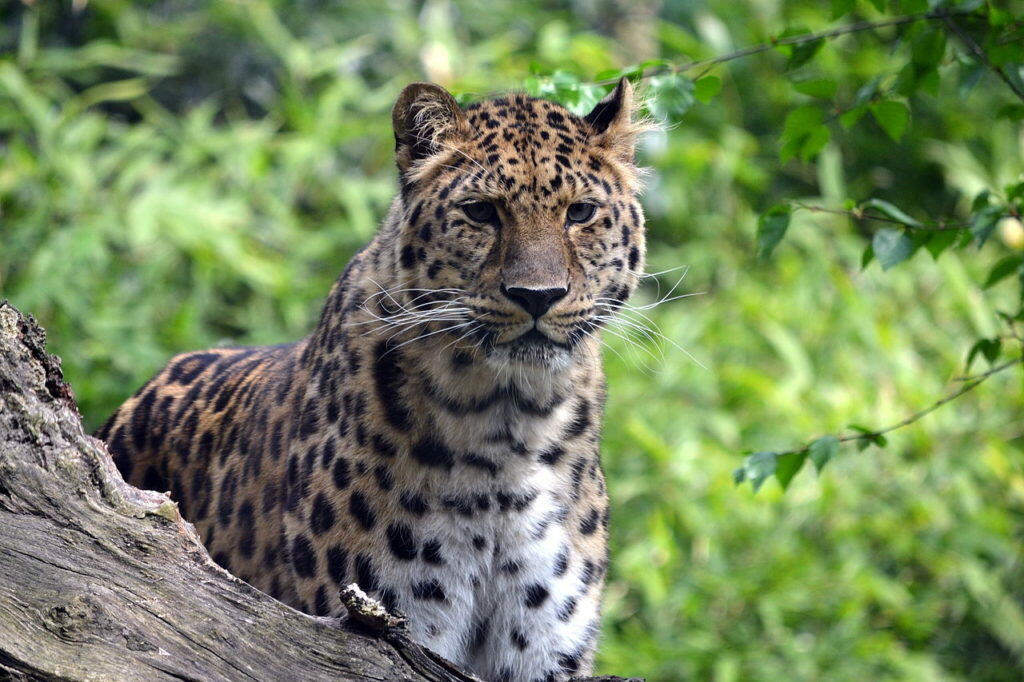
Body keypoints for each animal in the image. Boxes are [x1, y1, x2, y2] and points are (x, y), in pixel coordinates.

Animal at [96, 77, 647, 682]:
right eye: (481, 212)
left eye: (581, 212)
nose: (538, 296)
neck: (509, 421)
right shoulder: (383, 632)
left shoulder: (545, 654)